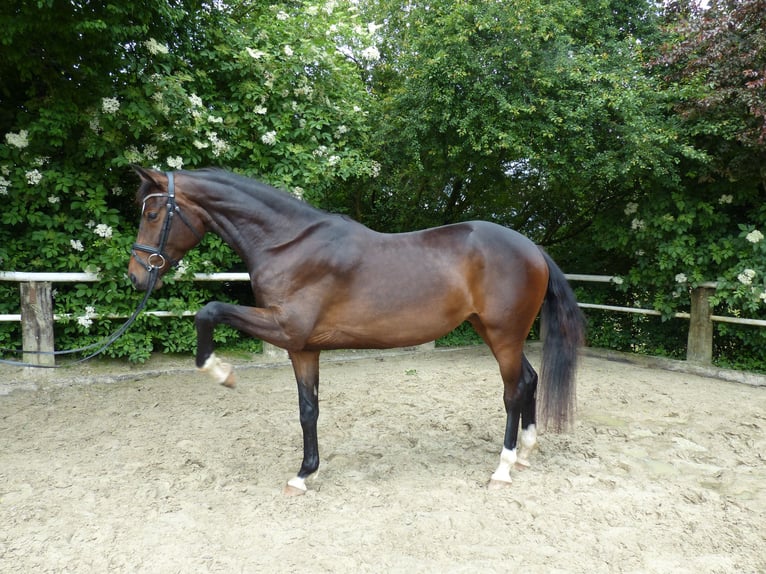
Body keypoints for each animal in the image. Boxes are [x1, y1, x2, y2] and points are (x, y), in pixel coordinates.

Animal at [129, 166, 584, 496]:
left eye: (152, 214)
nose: (136, 276)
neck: (288, 245)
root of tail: (531, 247)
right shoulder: (303, 348)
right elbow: (308, 410)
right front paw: (304, 475)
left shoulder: (285, 329)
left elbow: (208, 311)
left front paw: (221, 372)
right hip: (494, 332)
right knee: (529, 379)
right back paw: (524, 452)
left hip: (503, 334)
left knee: (513, 390)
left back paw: (503, 469)